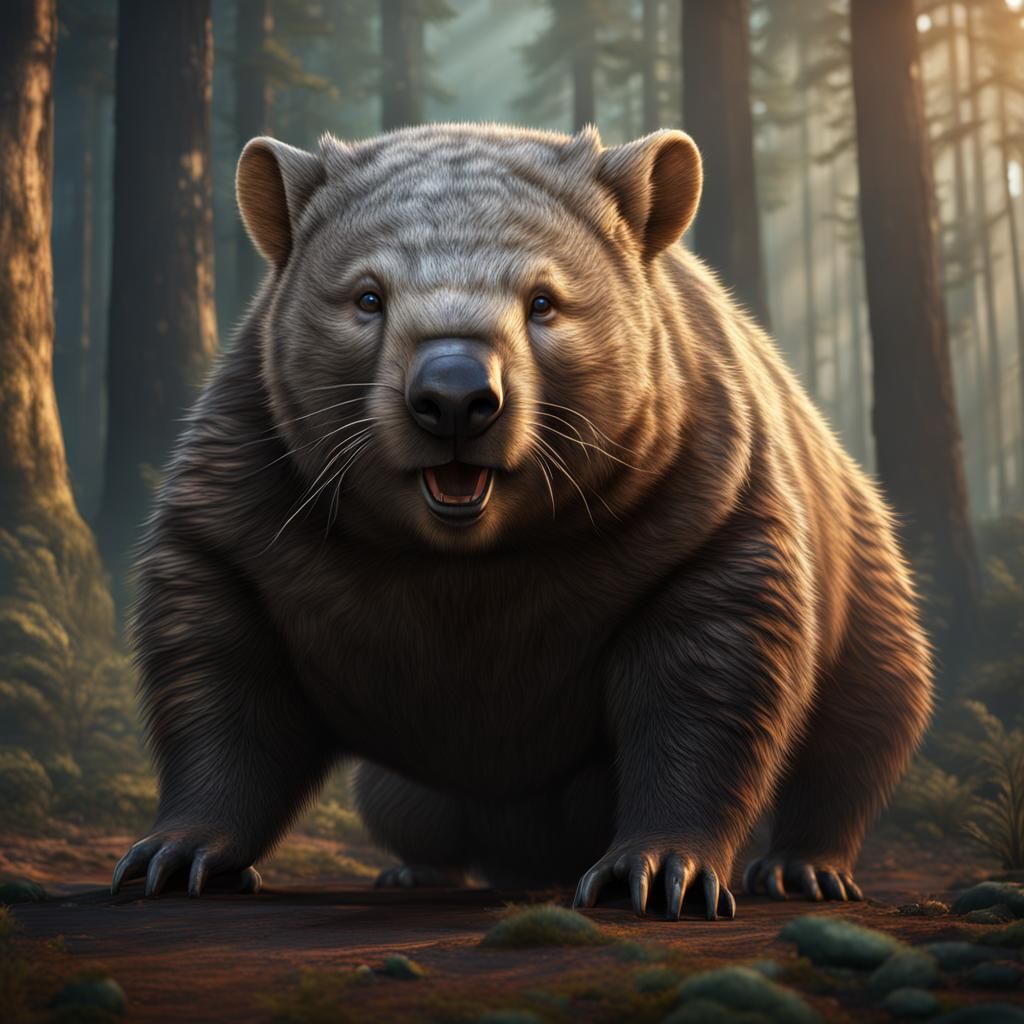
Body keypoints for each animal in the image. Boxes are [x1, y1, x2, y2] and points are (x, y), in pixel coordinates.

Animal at [111, 123, 932, 920]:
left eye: (544, 302)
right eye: (367, 298)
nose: (453, 396)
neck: (469, 550)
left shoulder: (705, 500)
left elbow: (709, 685)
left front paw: (656, 875)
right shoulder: (250, 499)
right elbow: (219, 674)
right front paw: (173, 859)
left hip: (865, 561)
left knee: (868, 714)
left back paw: (805, 870)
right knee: (401, 803)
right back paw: (415, 872)